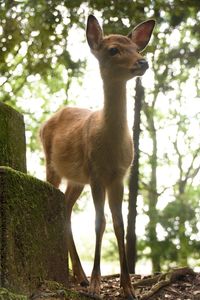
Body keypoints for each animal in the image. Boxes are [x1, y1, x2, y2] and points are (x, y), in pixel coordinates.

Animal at [39, 14, 155, 300]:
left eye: (137, 48)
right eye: (113, 50)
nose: (143, 62)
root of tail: (44, 123)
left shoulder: (119, 176)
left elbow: (120, 225)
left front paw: (128, 287)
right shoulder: (96, 173)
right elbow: (99, 223)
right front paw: (95, 284)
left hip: (76, 180)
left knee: (66, 208)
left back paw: (79, 276)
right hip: (53, 165)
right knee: (60, 203)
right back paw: (81, 277)